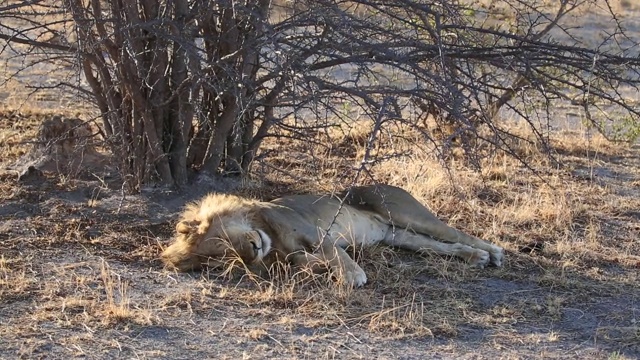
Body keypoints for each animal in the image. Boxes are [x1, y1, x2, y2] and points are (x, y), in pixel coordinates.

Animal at [161, 184, 504, 286]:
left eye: (223, 242)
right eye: (226, 258)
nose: (253, 249)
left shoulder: (319, 235)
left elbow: (336, 254)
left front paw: (353, 275)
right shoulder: (293, 254)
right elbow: (303, 261)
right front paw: (317, 269)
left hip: (409, 214)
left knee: (456, 232)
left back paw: (494, 251)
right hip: (400, 236)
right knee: (442, 246)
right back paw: (476, 257)